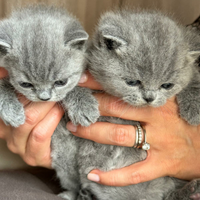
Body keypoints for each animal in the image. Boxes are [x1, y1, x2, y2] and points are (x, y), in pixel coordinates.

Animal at [77, 10, 200, 200]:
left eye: (166, 85)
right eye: (132, 82)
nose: (149, 97)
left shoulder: (191, 72)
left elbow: (195, 79)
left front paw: (194, 109)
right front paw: (82, 106)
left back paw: (192, 191)